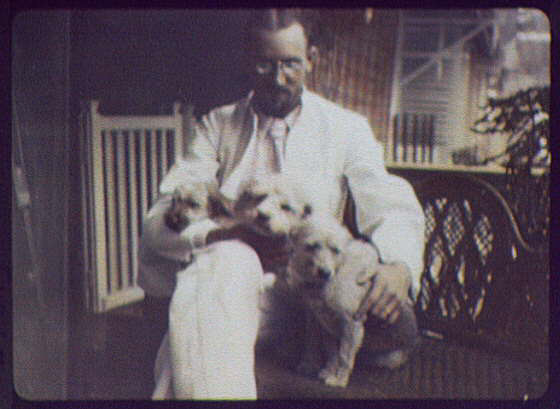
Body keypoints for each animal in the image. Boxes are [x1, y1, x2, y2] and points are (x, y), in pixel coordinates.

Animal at [288, 215, 380, 388]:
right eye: (312, 246)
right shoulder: (324, 322)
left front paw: (340, 380)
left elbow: (344, 355)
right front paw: (328, 371)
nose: (324, 272)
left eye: (336, 250)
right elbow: (331, 352)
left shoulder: (351, 324)